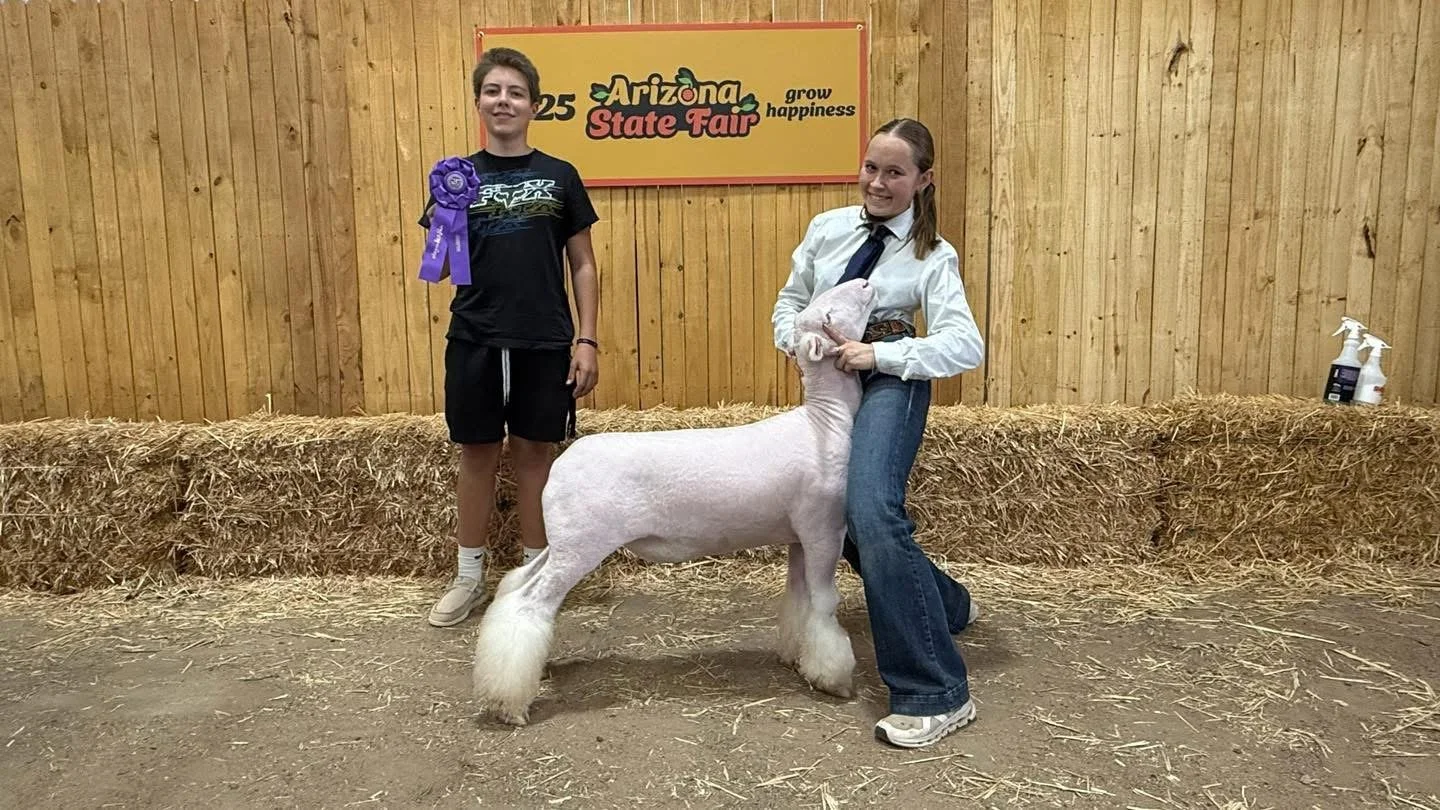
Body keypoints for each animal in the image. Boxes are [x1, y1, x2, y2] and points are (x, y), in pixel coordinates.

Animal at [470, 278, 879, 725]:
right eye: (828, 312)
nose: (865, 282)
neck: (825, 419)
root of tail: (560, 466)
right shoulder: (824, 529)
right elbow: (823, 604)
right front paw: (833, 677)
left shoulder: (797, 535)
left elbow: (799, 598)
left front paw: (795, 656)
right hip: (581, 545)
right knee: (531, 602)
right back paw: (509, 703)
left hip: (562, 540)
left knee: (516, 583)